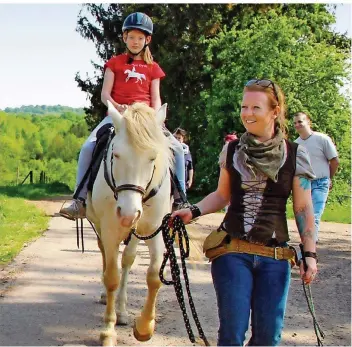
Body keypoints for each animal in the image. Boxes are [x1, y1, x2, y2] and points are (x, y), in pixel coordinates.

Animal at [85, 102, 173, 346]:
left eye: (153, 157)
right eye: (116, 154)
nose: (128, 213)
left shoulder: (154, 230)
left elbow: (153, 276)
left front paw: (144, 327)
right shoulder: (109, 229)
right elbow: (111, 278)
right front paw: (108, 331)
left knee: (127, 260)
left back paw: (123, 311)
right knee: (106, 257)